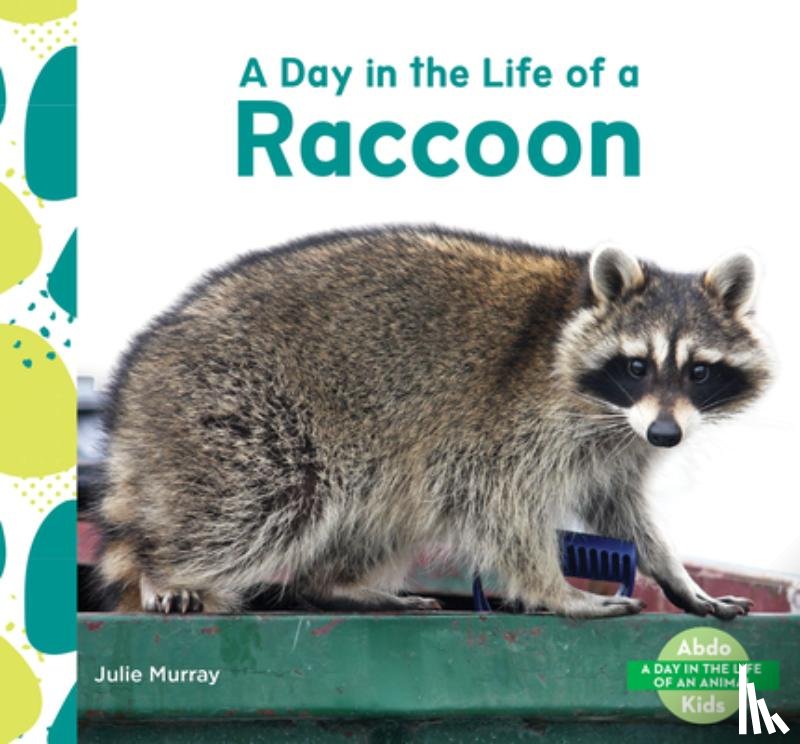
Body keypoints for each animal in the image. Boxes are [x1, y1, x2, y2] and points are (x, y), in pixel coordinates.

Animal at [96, 226, 771, 618]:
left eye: (700, 372)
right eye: (636, 365)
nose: (667, 436)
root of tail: (141, 371)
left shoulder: (618, 444)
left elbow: (619, 510)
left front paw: (674, 575)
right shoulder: (518, 422)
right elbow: (504, 504)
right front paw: (551, 589)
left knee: (383, 504)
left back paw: (335, 582)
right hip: (236, 407)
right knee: (261, 499)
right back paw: (165, 567)